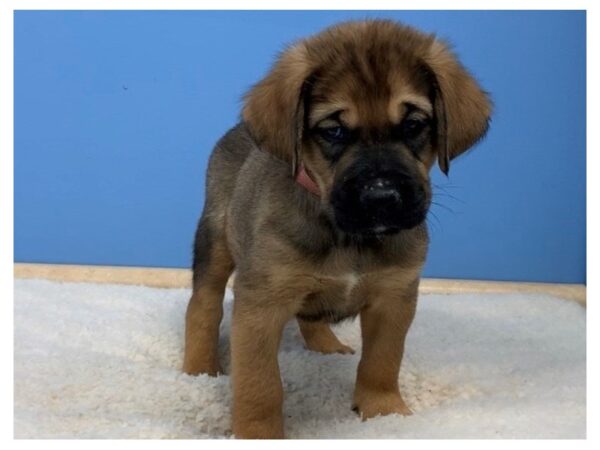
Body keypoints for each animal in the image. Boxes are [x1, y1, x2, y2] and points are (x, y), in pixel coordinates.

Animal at [183, 19, 492, 438]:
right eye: (334, 131)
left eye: (414, 125)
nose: (382, 197)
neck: (349, 237)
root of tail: (238, 129)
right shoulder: (261, 305)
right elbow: (260, 385)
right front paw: (258, 433)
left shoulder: (394, 298)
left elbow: (382, 362)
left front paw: (383, 412)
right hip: (215, 241)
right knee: (202, 306)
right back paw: (199, 370)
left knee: (309, 316)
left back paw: (325, 346)